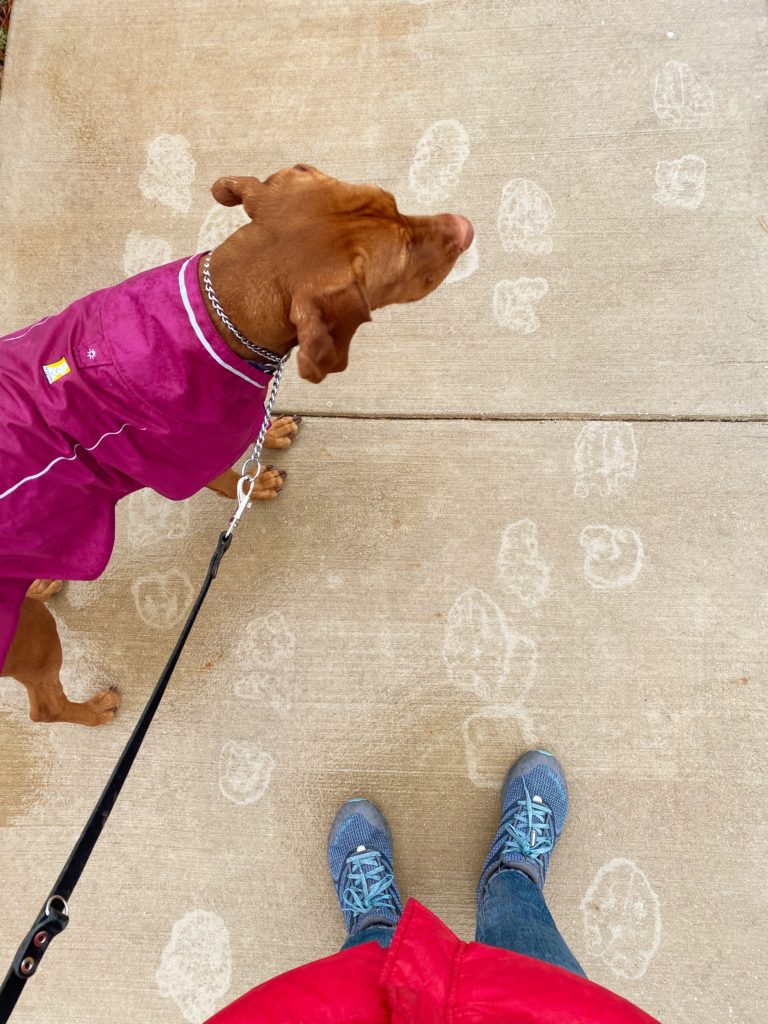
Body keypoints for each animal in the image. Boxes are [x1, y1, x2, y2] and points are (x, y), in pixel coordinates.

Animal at [0, 163, 473, 724]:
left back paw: (44, 580)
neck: (219, 308)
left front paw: (273, 430)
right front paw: (258, 482)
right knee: (43, 708)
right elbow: (230, 480)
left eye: (394, 203)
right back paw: (95, 710)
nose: (466, 226)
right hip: (31, 640)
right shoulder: (185, 460)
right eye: (400, 263)